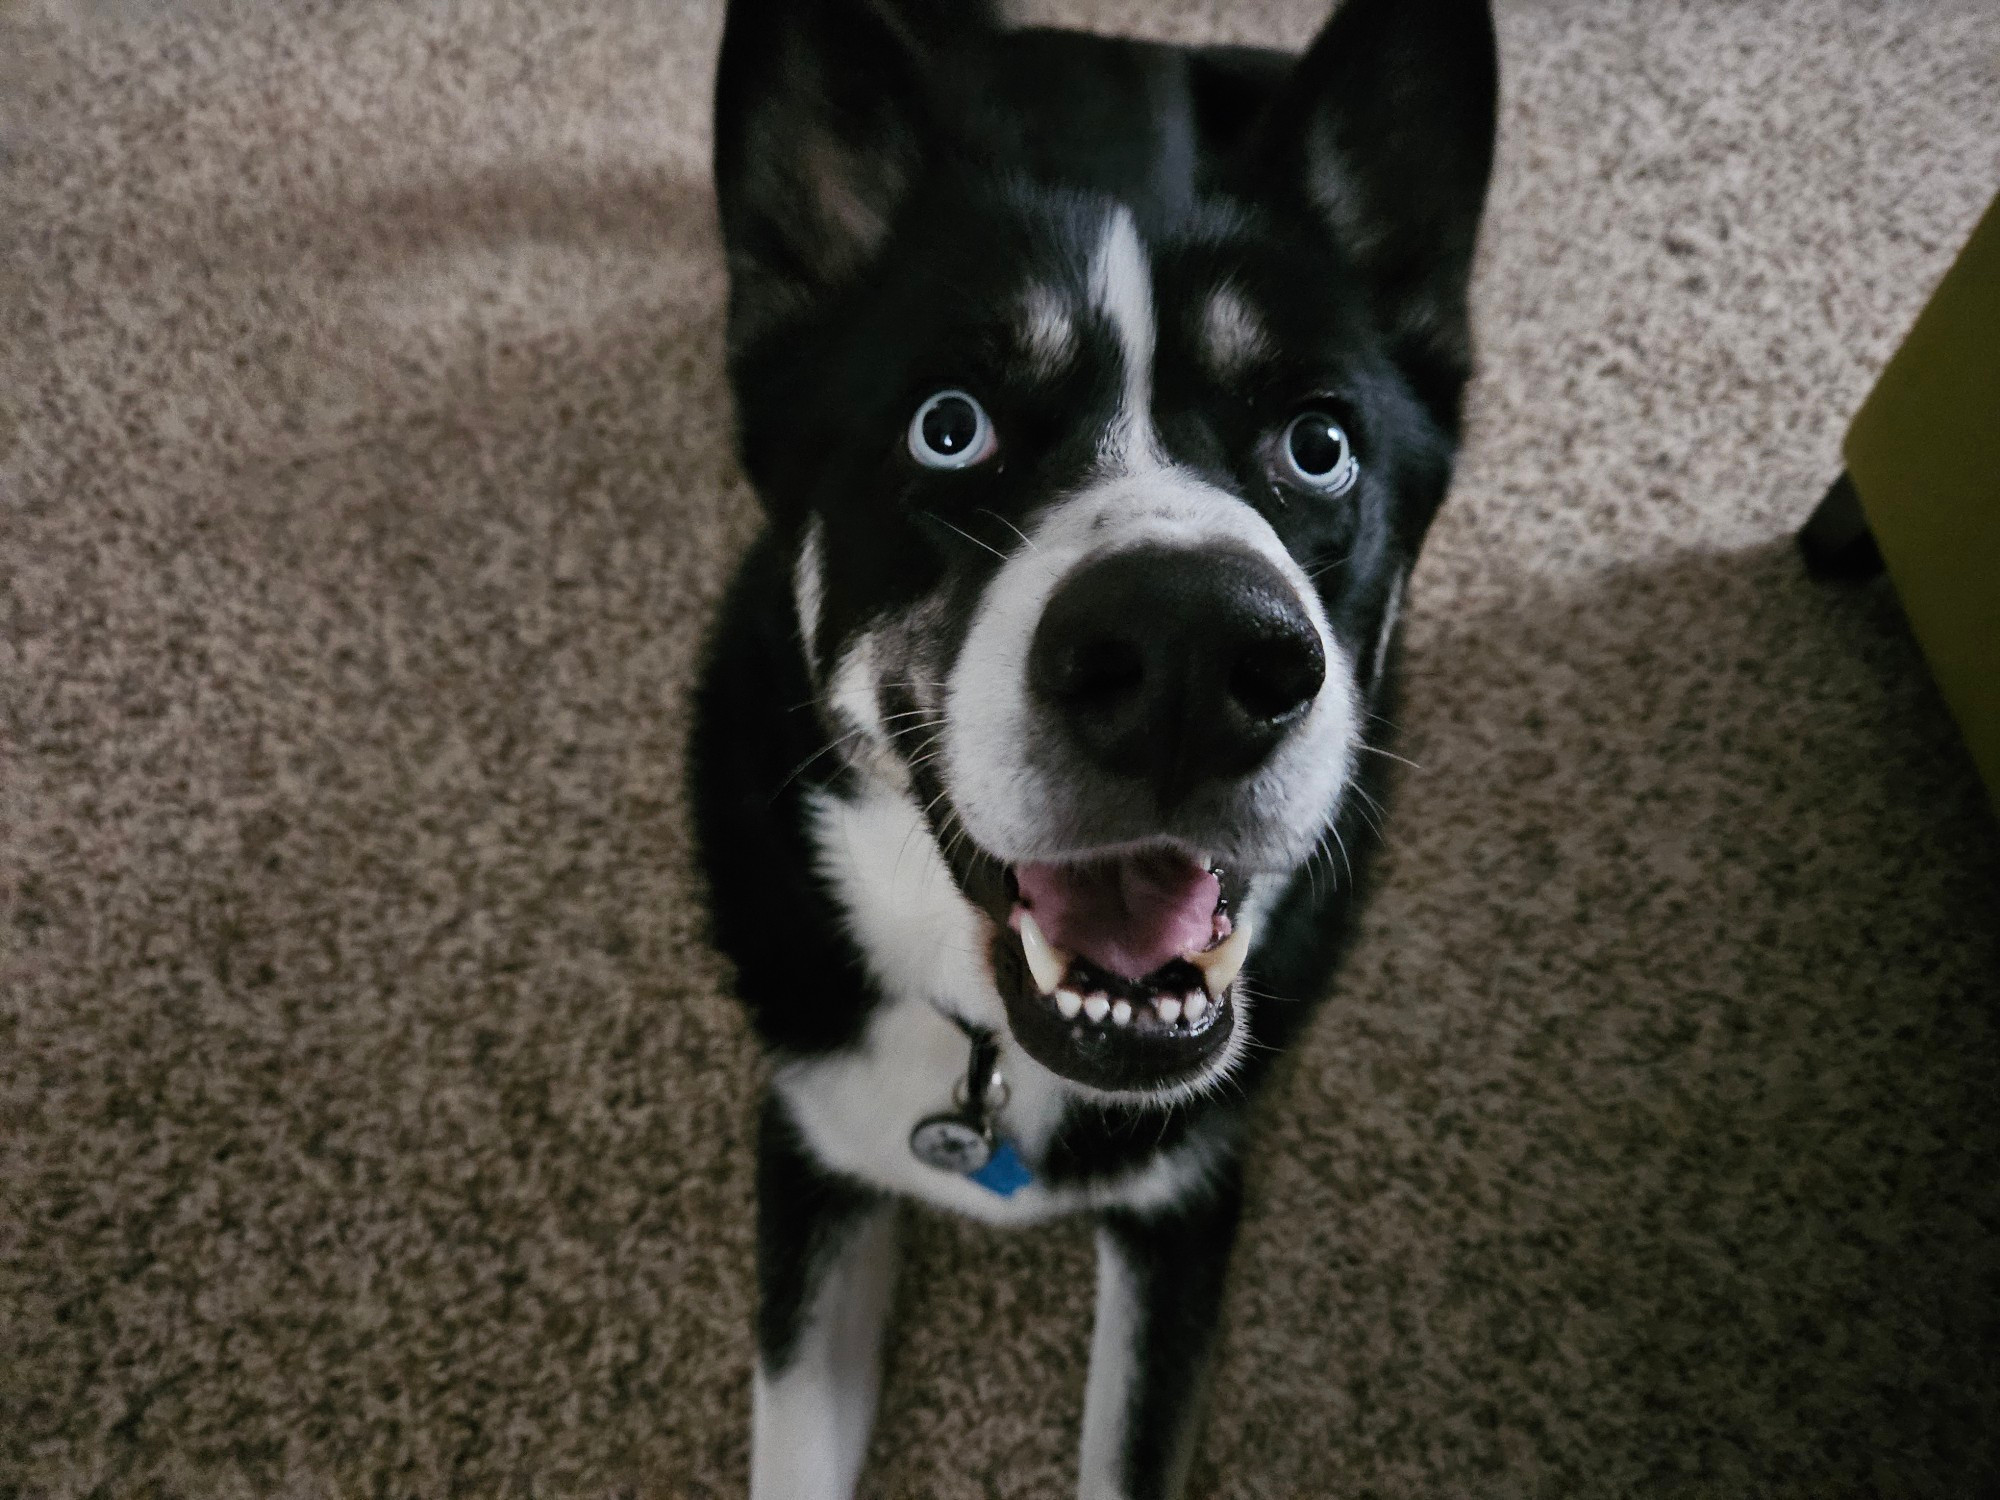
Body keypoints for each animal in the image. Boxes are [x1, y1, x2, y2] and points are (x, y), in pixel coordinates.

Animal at [696, 2, 1496, 1496]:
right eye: (949, 427)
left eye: (1319, 443)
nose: (1191, 660)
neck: (1005, 1057)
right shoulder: (814, 1150)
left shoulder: (1189, 1201)